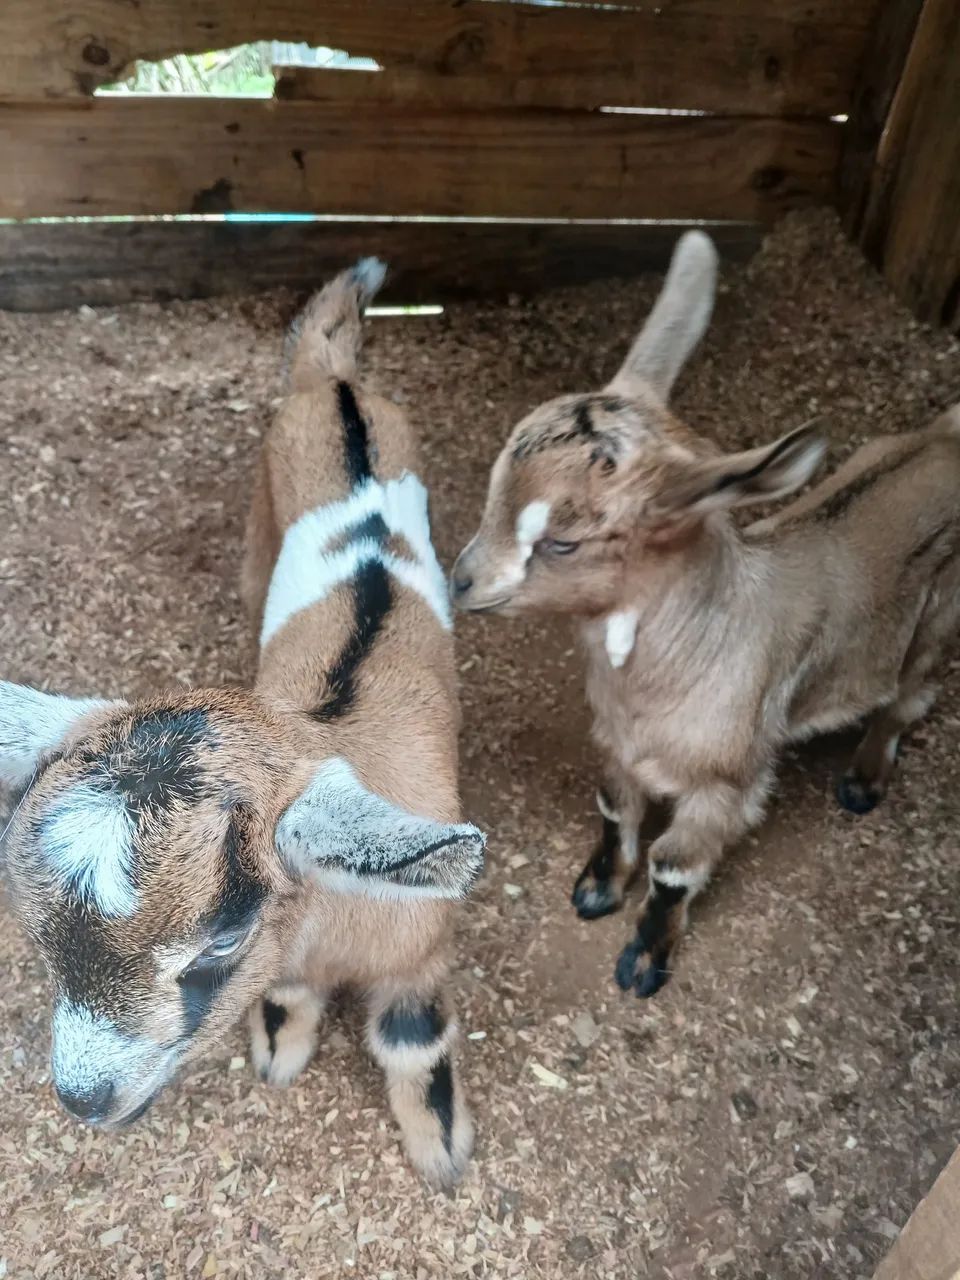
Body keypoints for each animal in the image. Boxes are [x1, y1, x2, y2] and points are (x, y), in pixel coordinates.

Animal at [0, 259, 485, 1187]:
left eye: (221, 939)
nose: (83, 1099)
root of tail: (332, 382)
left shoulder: (420, 958)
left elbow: (414, 1043)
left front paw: (442, 1152)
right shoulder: (294, 959)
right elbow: (291, 998)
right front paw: (281, 1048)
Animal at [451, 229, 960, 998]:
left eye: (562, 541)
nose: (460, 581)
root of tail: (948, 439)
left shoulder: (728, 783)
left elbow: (674, 870)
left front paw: (642, 964)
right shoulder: (618, 747)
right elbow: (616, 813)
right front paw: (596, 891)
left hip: (936, 626)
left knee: (907, 700)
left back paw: (864, 780)